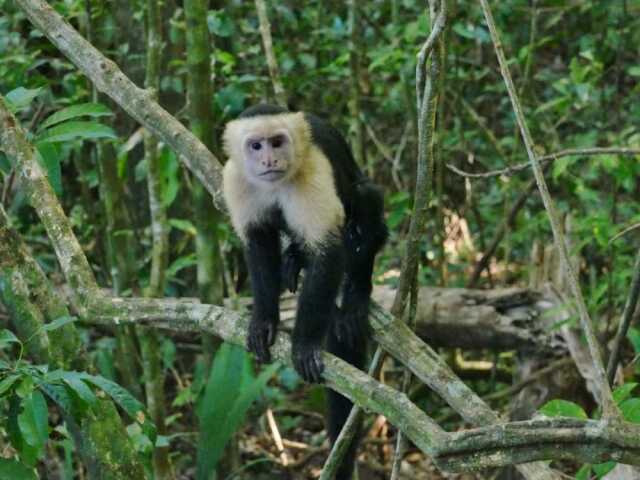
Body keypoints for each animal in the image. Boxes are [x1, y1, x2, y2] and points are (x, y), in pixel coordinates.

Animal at [222, 103, 388, 478]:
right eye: (256, 145)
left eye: (277, 141)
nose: (269, 159)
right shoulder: (235, 180)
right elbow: (257, 243)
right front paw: (264, 321)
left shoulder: (312, 174)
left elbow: (328, 250)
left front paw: (304, 343)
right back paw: (294, 257)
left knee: (364, 204)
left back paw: (354, 298)